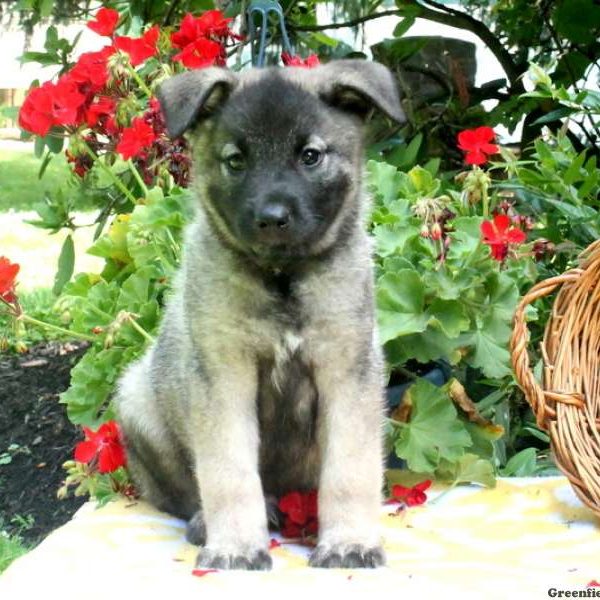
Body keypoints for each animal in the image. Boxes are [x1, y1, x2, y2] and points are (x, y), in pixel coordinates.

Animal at [116, 58, 404, 568]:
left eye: (310, 156)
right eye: (236, 161)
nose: (271, 219)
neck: (282, 276)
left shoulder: (347, 372)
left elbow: (350, 470)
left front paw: (348, 541)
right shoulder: (223, 376)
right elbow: (228, 474)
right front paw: (234, 547)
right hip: (137, 401)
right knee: (186, 492)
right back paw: (208, 523)